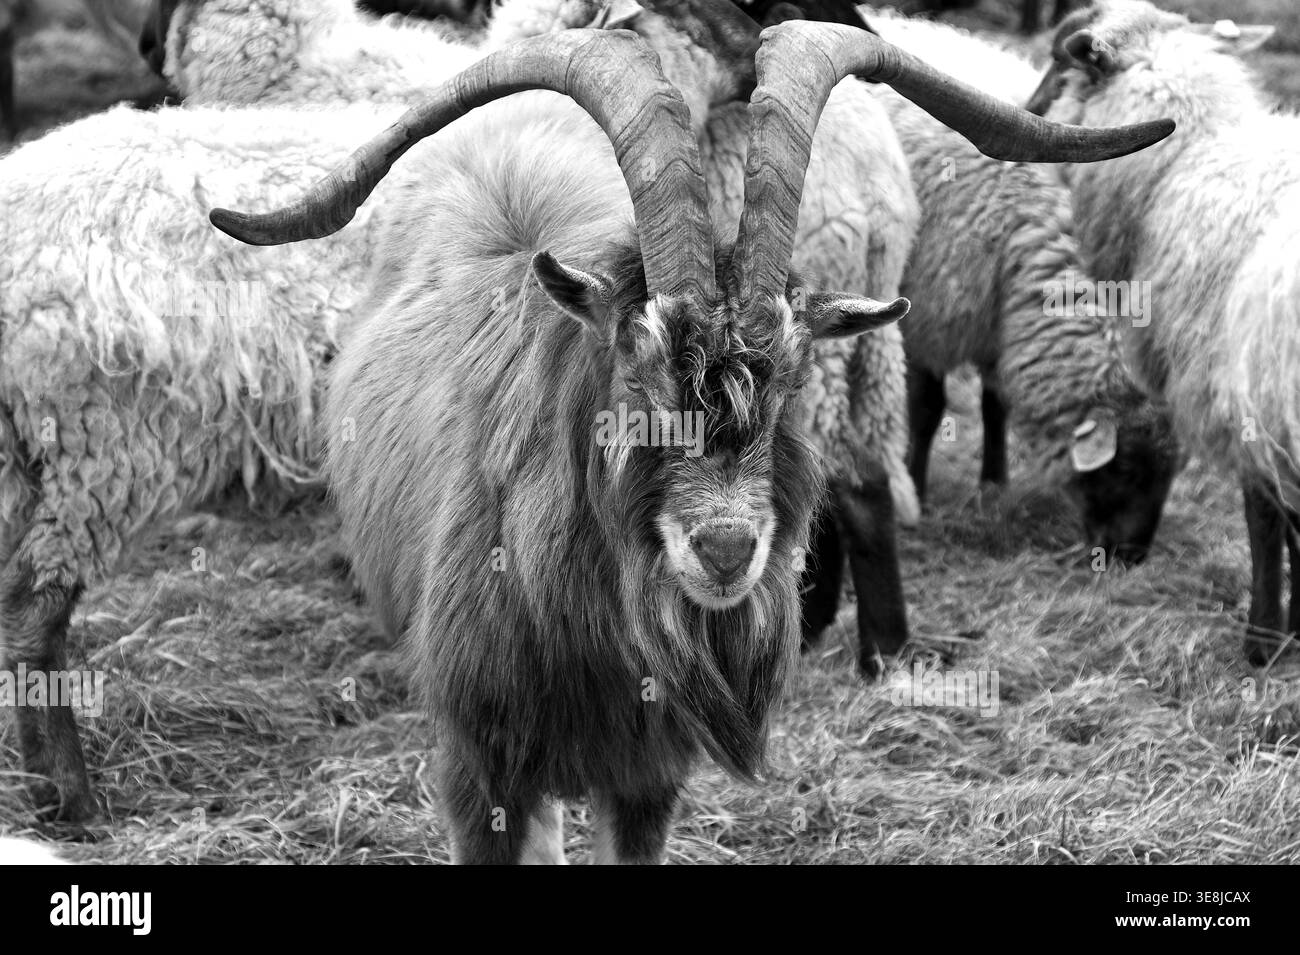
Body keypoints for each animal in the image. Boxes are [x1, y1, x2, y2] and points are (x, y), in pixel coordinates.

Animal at [1024, 0, 1298, 664]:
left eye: (1059, 65)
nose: (1028, 105)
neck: (1186, 160)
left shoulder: (1237, 390)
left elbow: (1265, 518)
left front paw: (1264, 643)